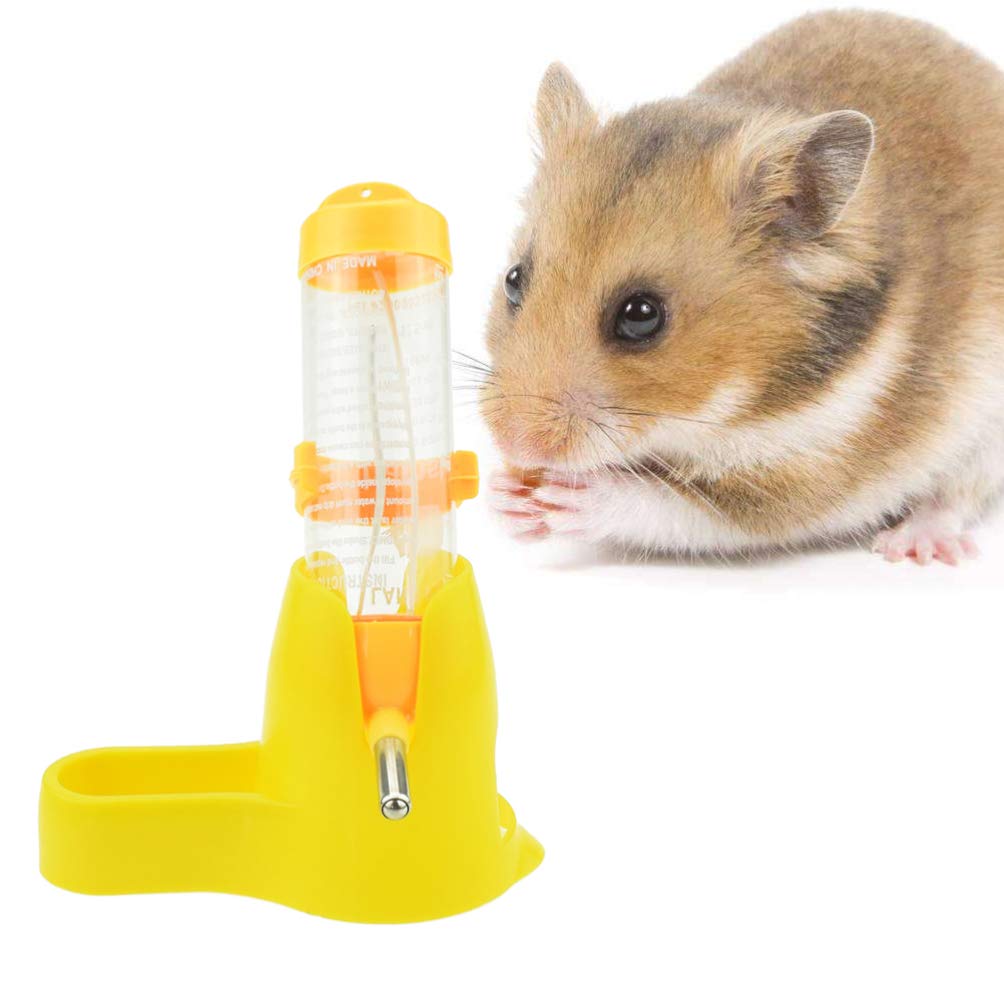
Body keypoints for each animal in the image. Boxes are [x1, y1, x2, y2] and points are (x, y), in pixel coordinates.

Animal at [477, 10, 1004, 565]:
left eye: (642, 315)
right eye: (514, 280)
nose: (515, 444)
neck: (731, 409)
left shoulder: (799, 475)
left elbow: (669, 505)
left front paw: (570, 496)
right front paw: (505, 496)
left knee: (956, 496)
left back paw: (912, 546)